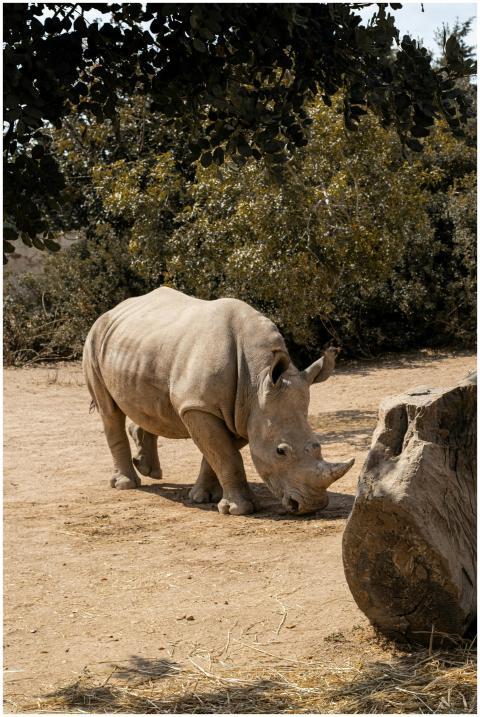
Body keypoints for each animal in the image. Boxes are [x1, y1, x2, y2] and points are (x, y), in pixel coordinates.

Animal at [83, 287, 354, 515]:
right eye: (280, 451)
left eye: (317, 446)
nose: (311, 505)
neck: (257, 380)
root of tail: (114, 309)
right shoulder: (200, 406)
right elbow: (226, 456)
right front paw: (239, 510)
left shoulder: (242, 411)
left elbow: (217, 454)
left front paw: (203, 497)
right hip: (94, 339)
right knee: (109, 411)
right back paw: (126, 484)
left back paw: (150, 470)